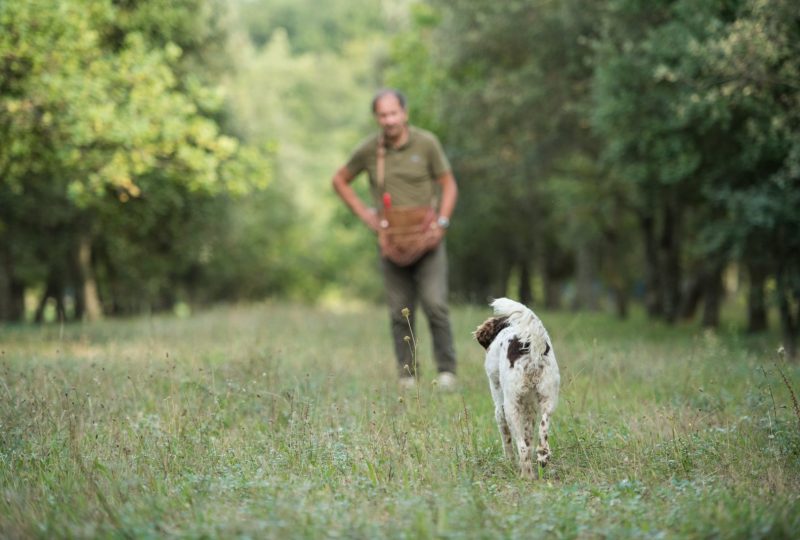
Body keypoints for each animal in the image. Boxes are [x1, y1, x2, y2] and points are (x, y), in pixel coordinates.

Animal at [472, 298, 560, 478]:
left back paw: (526, 475)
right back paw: (542, 457)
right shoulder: (531, 410)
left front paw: (510, 463)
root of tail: (532, 348)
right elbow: (529, 435)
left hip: (511, 407)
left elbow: (507, 441)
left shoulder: (500, 410)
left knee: (522, 447)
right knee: (542, 434)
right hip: (549, 400)